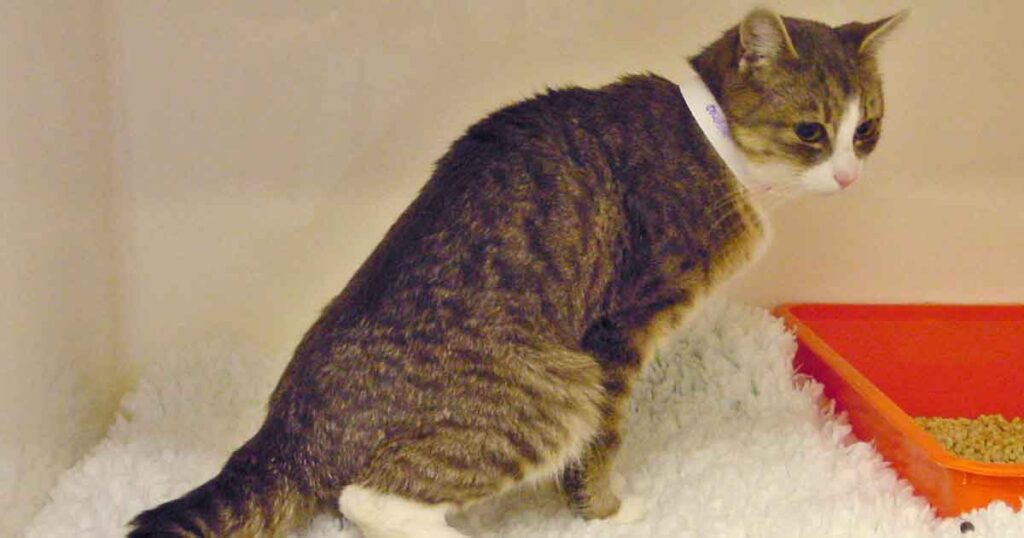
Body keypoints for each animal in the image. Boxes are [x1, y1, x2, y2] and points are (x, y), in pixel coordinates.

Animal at [128, 8, 905, 536]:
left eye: (867, 130)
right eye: (811, 131)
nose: (848, 175)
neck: (714, 143)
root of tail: (285, 434)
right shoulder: (617, 334)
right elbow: (603, 443)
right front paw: (608, 511)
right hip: (556, 392)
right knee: (366, 498)